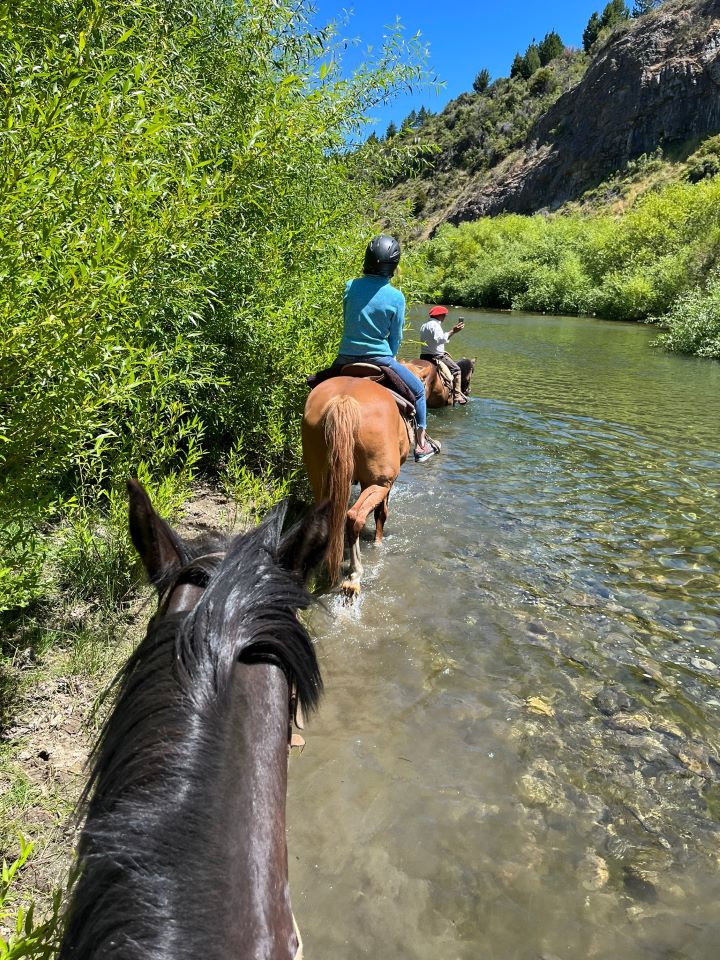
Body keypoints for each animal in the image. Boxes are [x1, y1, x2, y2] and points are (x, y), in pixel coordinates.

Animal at [300, 374, 410, 592]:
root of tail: (344, 399)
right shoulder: (386, 484)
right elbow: (381, 514)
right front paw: (377, 543)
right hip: (379, 483)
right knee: (354, 517)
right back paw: (354, 574)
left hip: (319, 477)